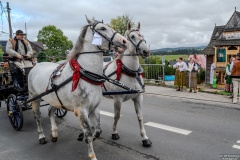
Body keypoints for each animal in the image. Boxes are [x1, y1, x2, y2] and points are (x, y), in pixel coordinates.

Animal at [27, 16, 127, 159]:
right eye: (102, 28)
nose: (124, 41)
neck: (84, 74)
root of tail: (36, 65)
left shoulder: (94, 108)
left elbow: (97, 130)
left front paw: (82, 136)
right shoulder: (81, 111)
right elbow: (89, 134)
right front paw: (92, 155)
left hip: (54, 99)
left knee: (50, 112)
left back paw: (54, 133)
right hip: (34, 97)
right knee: (37, 116)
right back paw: (41, 136)